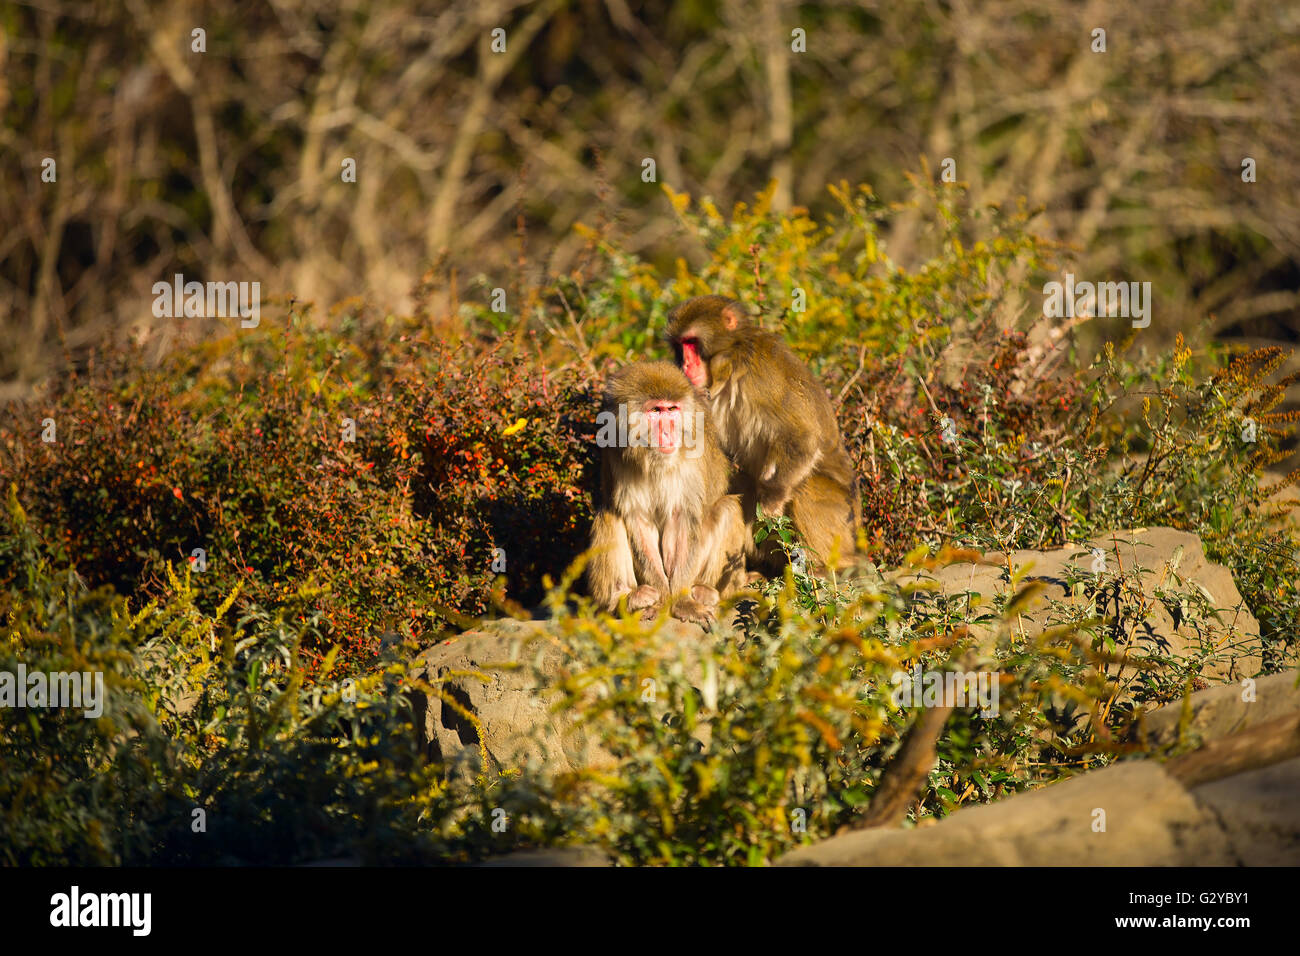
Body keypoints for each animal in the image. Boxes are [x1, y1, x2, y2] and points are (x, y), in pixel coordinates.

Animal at [586, 361, 747, 625]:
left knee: (728, 508)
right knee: (609, 515)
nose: (668, 433)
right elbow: (639, 520)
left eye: (672, 409)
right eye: (656, 410)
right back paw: (624, 599)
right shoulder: (619, 456)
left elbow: (680, 518)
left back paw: (704, 591)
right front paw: (662, 600)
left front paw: (681, 603)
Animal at [665, 295, 861, 571]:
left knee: (804, 485)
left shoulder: (762, 374)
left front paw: (771, 499)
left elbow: (803, 437)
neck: (732, 357)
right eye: (679, 346)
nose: (685, 363)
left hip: (841, 524)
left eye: (691, 342)